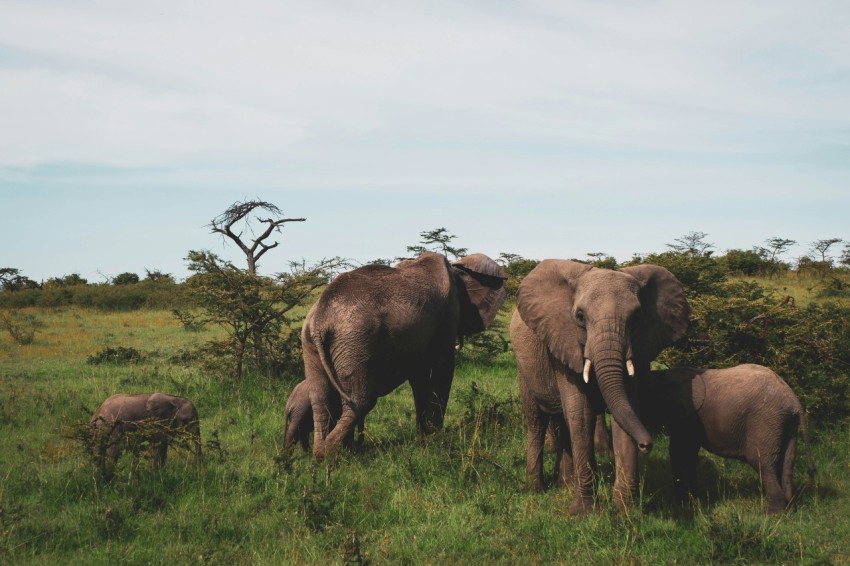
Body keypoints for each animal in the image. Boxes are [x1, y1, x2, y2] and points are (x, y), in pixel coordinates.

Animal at [304, 253, 504, 462]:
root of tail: (320, 319)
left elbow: (420, 377)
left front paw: (423, 438)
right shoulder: (448, 314)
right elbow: (443, 368)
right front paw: (435, 439)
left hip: (313, 342)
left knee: (320, 398)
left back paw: (326, 451)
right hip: (354, 341)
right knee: (361, 401)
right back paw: (330, 453)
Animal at [510, 262, 688, 516]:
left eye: (637, 316)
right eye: (580, 317)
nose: (647, 445)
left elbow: (626, 412)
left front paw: (625, 511)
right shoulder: (564, 342)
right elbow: (581, 413)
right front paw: (584, 513)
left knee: (563, 421)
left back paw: (565, 485)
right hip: (525, 370)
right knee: (537, 420)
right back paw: (537, 489)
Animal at [644, 366, 816, 516]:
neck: (665, 374)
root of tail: (793, 400)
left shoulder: (688, 415)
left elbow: (679, 451)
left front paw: (683, 504)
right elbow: (687, 453)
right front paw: (692, 501)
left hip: (766, 420)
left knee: (762, 463)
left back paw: (772, 515)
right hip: (787, 425)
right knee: (786, 465)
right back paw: (790, 510)